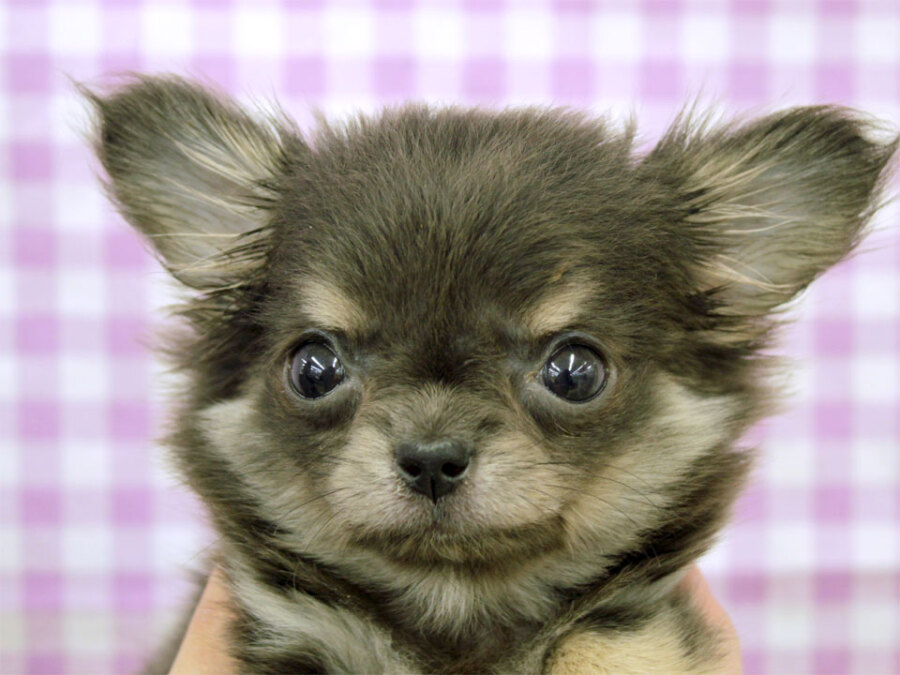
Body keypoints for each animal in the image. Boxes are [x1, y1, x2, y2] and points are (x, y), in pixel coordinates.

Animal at [86, 76, 895, 673]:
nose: (431, 459)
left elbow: (606, 639)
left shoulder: (637, 614)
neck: (461, 611)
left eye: (574, 371)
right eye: (315, 368)